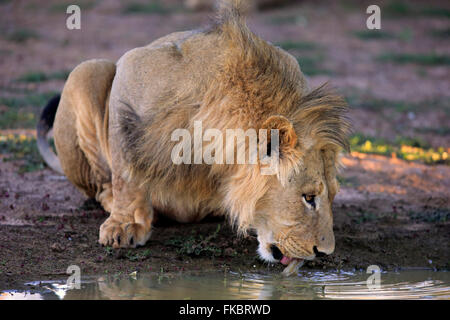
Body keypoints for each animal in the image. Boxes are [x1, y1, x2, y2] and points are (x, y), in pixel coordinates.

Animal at [37, 0, 350, 272]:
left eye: (333, 195)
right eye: (308, 197)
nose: (324, 253)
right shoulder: (131, 73)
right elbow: (126, 172)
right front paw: (124, 225)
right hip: (87, 71)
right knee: (102, 186)